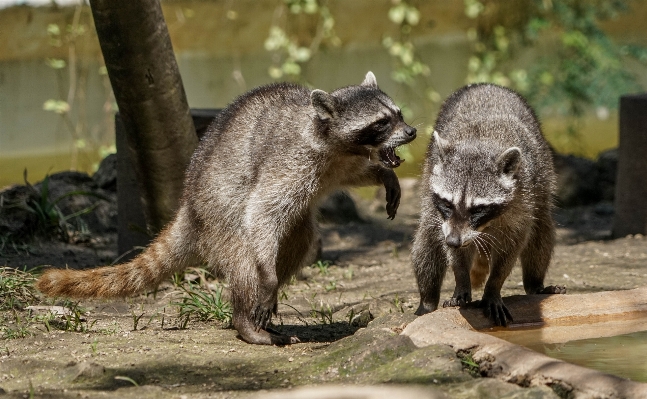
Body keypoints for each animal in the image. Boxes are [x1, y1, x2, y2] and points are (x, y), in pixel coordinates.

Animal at [38, 72, 418, 346]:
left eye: (398, 114)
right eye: (381, 123)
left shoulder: (340, 162)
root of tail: (189, 208)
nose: (413, 131)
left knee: (299, 241)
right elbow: (262, 211)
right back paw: (246, 316)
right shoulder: (289, 161)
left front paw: (384, 174)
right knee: (248, 256)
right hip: (219, 218)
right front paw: (266, 283)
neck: (333, 140)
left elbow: (358, 173)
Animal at [412, 83, 564, 326]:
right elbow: (450, 250)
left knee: (541, 230)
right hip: (429, 174)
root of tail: (486, 85)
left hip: (542, 175)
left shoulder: (523, 199)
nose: (454, 241)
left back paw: (535, 284)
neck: (480, 142)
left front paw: (494, 286)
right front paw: (461, 280)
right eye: (448, 204)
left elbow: (512, 246)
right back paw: (427, 300)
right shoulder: (442, 214)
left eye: (478, 209)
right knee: (426, 240)